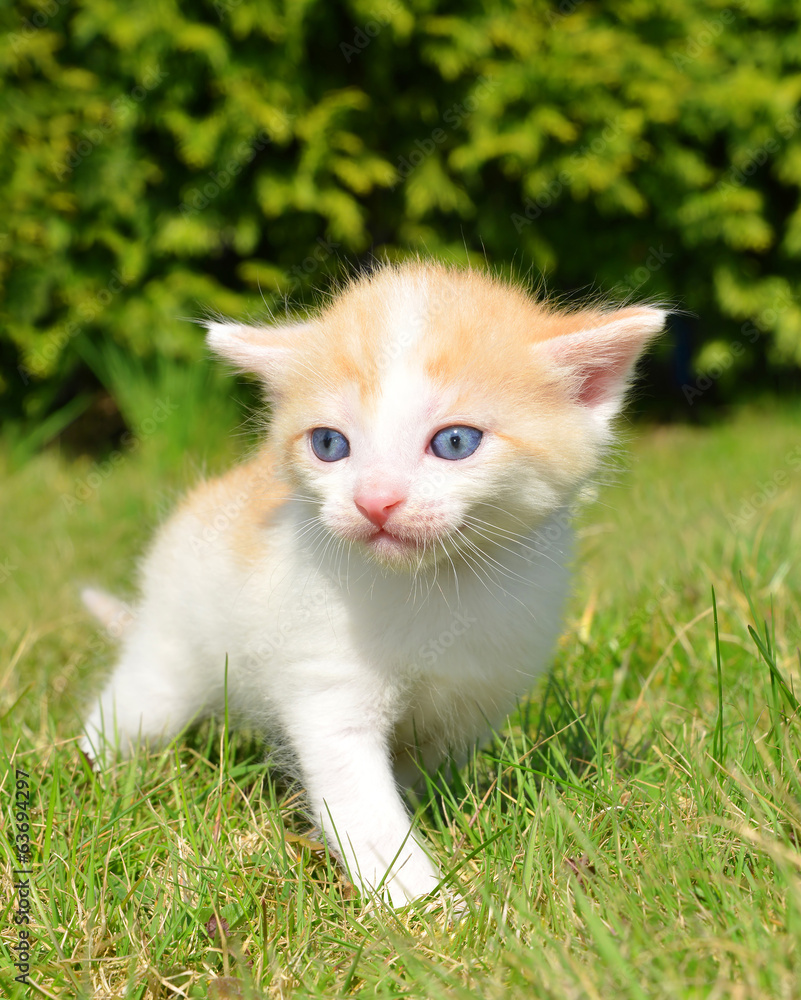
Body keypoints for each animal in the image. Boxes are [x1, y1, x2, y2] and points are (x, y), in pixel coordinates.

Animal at [81, 262, 664, 912]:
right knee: (127, 710)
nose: (374, 500)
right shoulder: (330, 693)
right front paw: (428, 907)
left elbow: (416, 774)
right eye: (328, 444)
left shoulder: (476, 700)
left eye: (455, 442)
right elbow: (365, 810)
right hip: (169, 658)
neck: (434, 589)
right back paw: (90, 777)